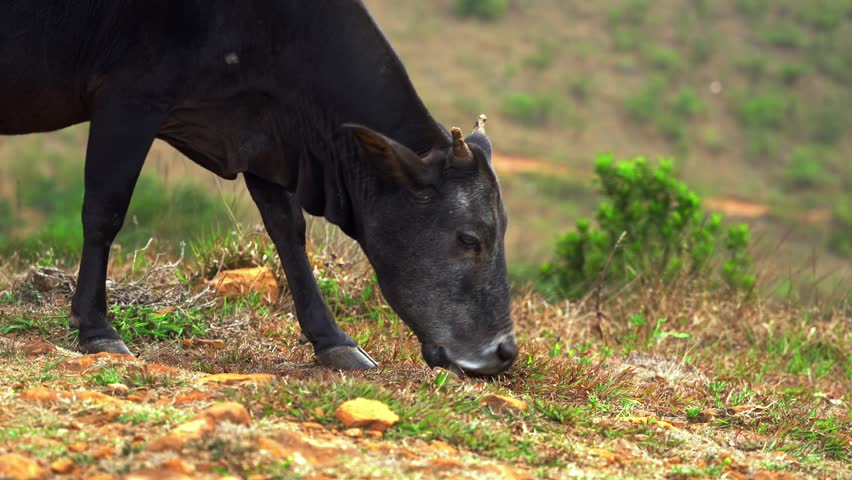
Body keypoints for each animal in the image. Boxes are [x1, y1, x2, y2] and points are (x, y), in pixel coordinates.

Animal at [0, 0, 517, 375]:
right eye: (470, 237)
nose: (504, 352)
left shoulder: (263, 132)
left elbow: (289, 232)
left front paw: (333, 341)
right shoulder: (130, 97)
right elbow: (104, 211)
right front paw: (95, 327)